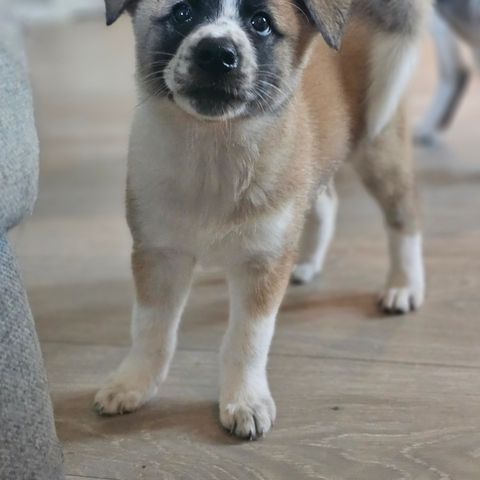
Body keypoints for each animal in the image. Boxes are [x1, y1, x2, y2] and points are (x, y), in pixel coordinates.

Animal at [94, 0, 432, 438]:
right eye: (183, 13)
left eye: (261, 23)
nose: (217, 54)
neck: (214, 152)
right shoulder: (158, 252)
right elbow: (151, 329)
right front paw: (133, 382)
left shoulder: (262, 263)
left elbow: (247, 340)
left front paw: (245, 399)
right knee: (326, 203)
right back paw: (308, 263)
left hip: (380, 150)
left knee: (404, 218)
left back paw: (403, 285)